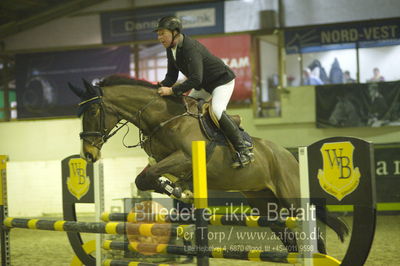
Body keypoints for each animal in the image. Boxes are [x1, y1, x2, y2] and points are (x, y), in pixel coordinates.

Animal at [69, 75, 346, 254]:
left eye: (92, 112)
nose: (88, 155)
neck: (162, 118)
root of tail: (290, 156)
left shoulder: (184, 156)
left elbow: (148, 177)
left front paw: (178, 190)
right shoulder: (161, 161)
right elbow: (145, 178)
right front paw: (178, 190)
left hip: (292, 198)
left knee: (315, 237)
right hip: (264, 202)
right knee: (289, 238)